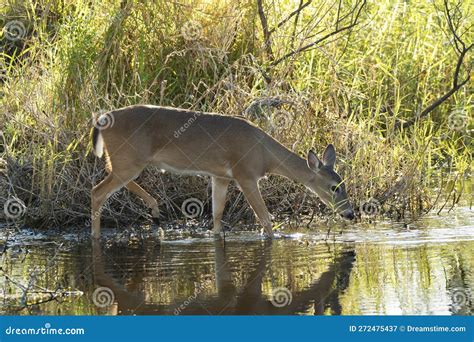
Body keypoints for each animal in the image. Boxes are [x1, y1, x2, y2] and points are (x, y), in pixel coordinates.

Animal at [90, 105, 354, 239]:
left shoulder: (221, 176)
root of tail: (102, 119)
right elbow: (265, 218)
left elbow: (217, 215)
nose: (350, 214)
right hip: (128, 159)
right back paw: (96, 235)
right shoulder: (245, 174)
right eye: (334, 187)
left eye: (344, 184)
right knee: (97, 191)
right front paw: (276, 238)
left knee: (110, 178)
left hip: (126, 161)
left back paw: (155, 211)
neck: (264, 153)